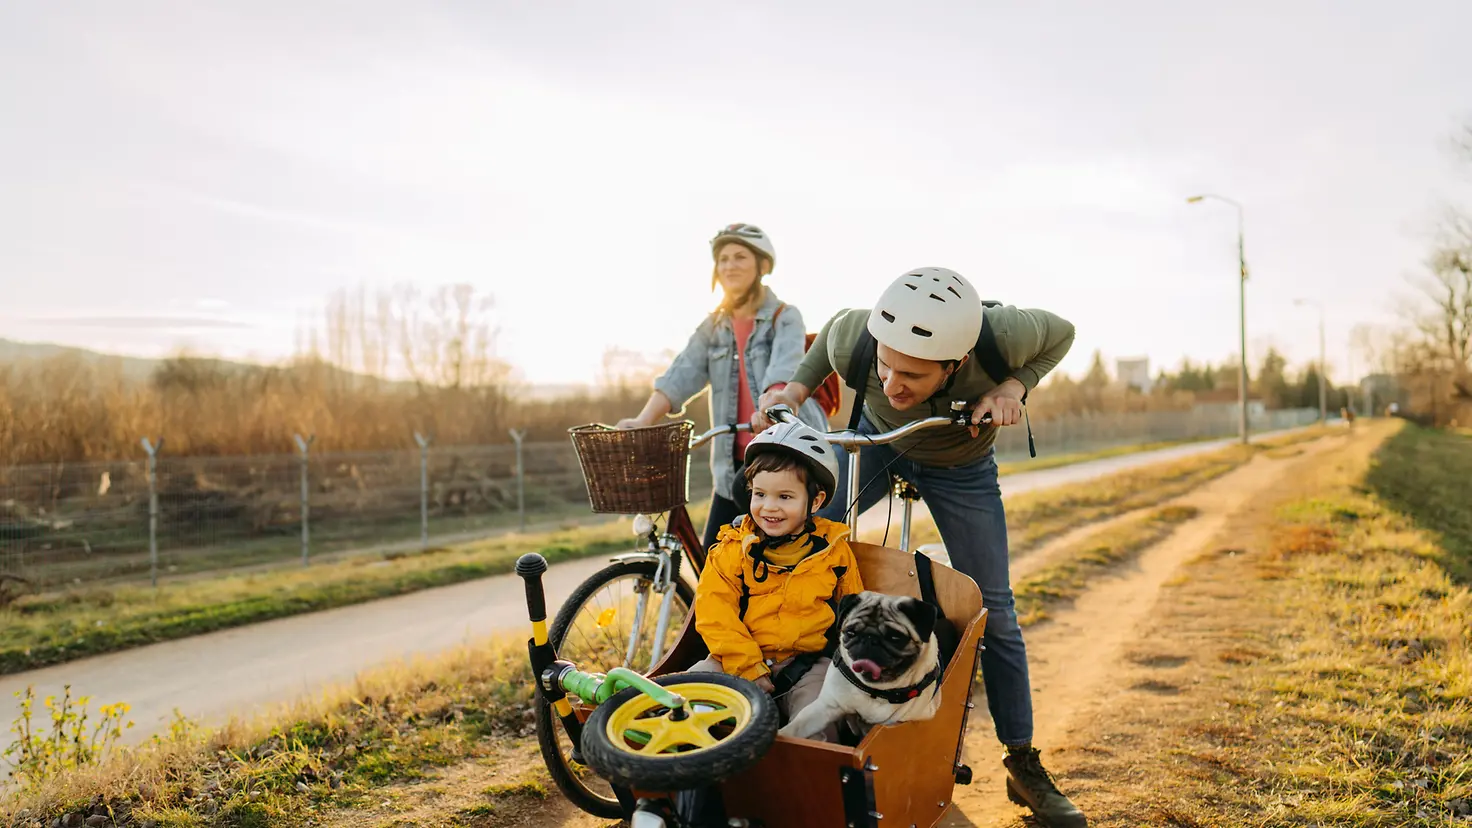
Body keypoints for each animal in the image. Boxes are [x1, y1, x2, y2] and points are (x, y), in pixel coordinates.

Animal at [783, 589, 942, 736]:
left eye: (895, 638)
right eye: (850, 633)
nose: (870, 639)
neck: (874, 691)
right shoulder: (826, 707)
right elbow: (797, 726)